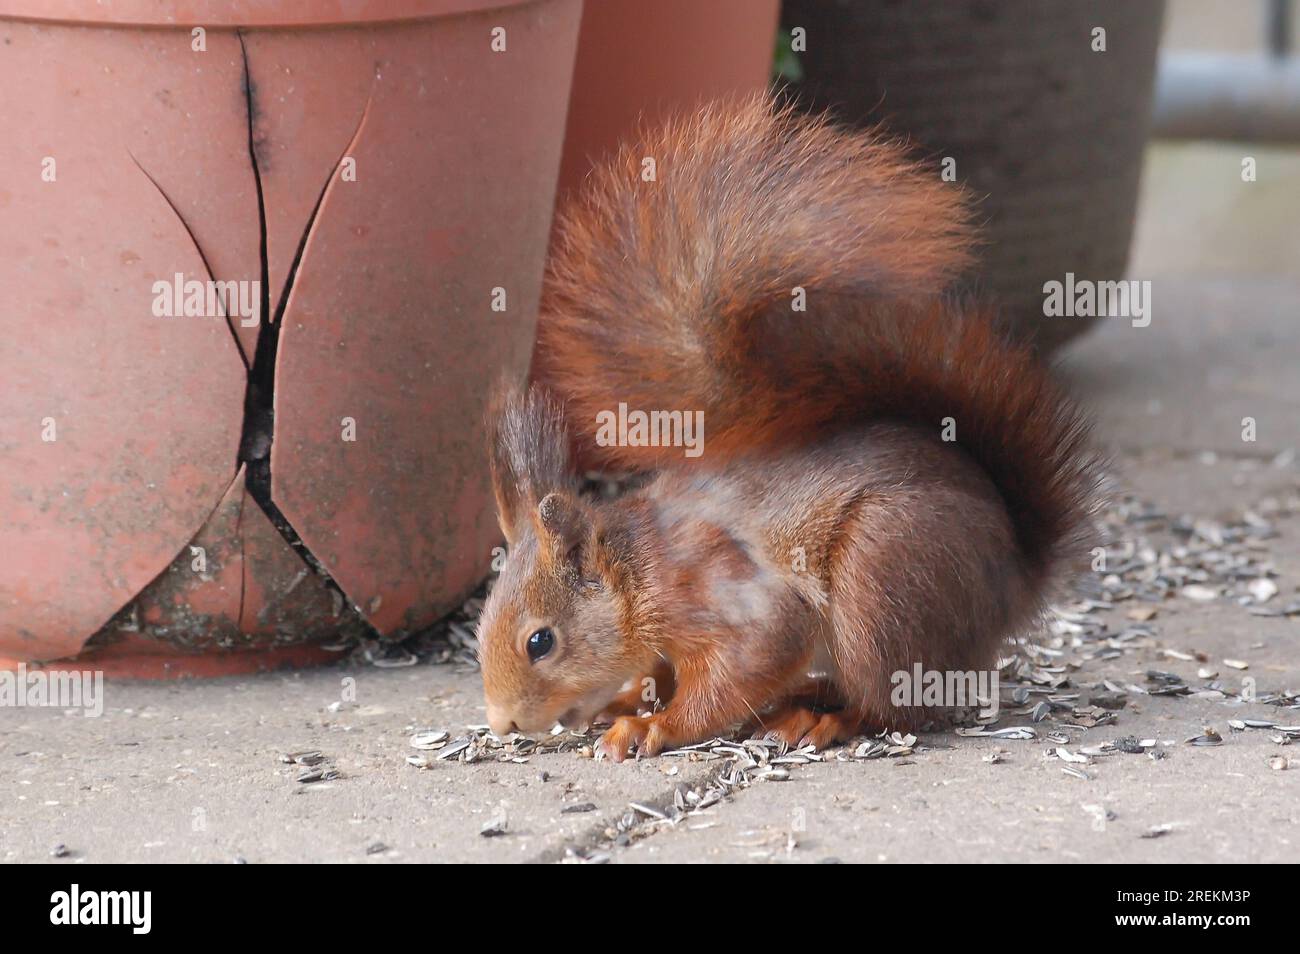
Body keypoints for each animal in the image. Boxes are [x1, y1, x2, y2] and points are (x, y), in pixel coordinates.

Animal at [477, 96, 1100, 761]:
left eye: (540, 642)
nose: (501, 723)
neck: (636, 570)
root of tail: (1016, 574)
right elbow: (664, 670)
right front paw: (629, 700)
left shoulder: (724, 595)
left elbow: (745, 662)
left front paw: (654, 726)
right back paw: (814, 695)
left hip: (880, 575)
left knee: (898, 705)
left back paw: (822, 719)